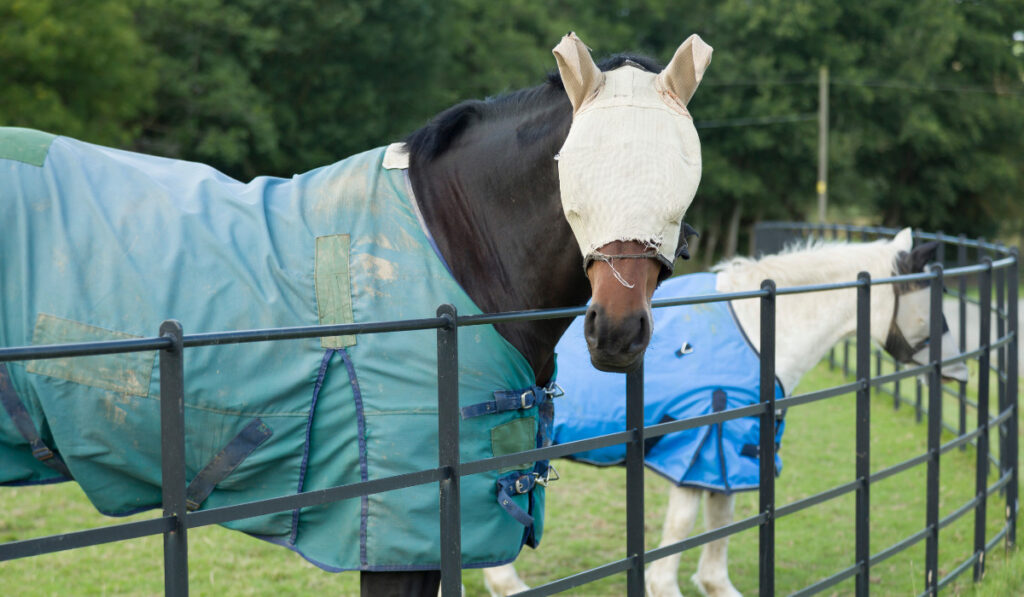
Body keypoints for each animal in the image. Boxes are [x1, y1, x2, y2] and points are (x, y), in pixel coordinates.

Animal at [483, 229, 962, 597]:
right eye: (930, 303)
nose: (960, 370)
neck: (758, 327)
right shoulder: (699, 447)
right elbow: (681, 528)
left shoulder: (730, 451)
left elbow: (720, 520)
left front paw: (714, 584)